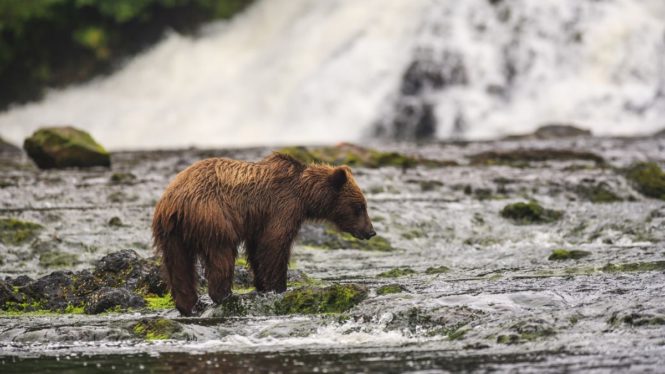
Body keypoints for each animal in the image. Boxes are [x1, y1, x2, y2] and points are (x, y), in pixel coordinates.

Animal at [152, 153, 376, 316]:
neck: (304, 195)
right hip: (213, 217)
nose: (371, 231)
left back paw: (190, 305)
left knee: (178, 266)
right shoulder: (281, 207)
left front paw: (262, 285)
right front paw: (278, 287)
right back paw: (225, 296)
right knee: (220, 256)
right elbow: (274, 245)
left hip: (171, 234)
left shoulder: (258, 221)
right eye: (360, 206)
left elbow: (257, 249)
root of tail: (176, 204)